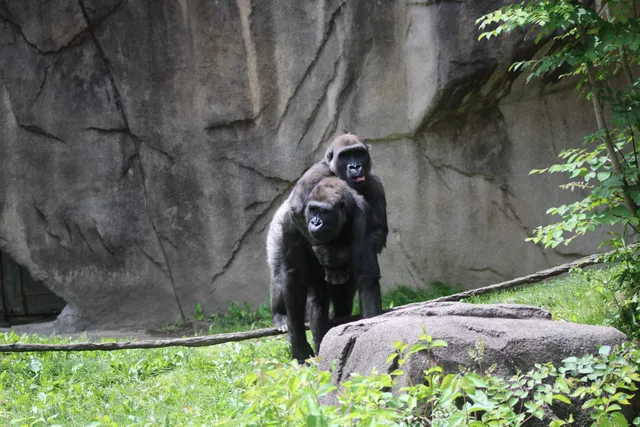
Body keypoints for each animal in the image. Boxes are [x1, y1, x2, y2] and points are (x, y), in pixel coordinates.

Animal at [267, 177, 382, 362]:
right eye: (313, 210)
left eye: (324, 212)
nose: (315, 222)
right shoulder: (291, 222)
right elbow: (294, 279)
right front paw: (299, 347)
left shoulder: (362, 219)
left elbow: (366, 275)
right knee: (312, 295)